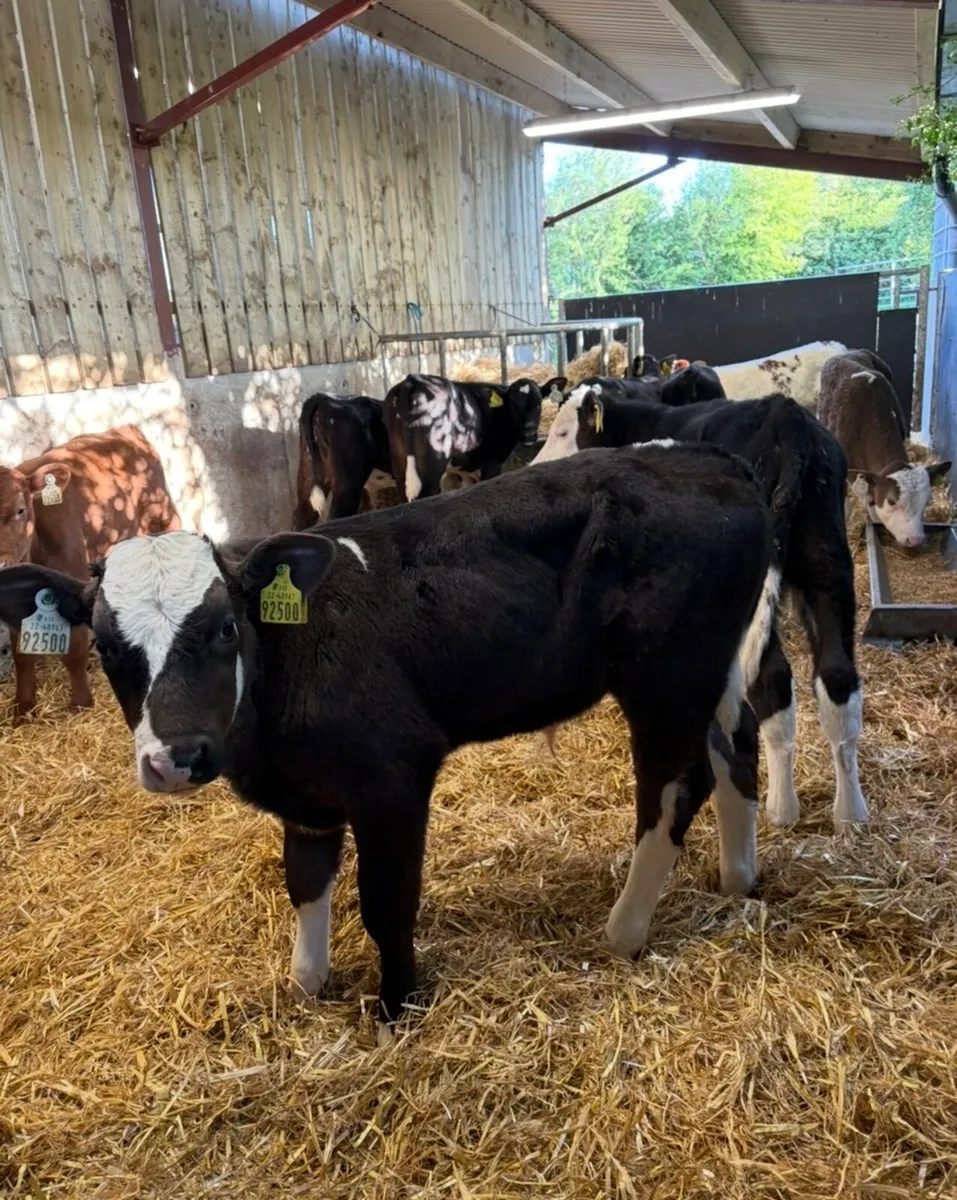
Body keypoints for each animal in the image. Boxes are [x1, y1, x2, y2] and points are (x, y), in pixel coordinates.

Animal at [0, 425, 180, 716]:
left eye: (20, 510)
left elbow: (74, 650)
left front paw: (80, 703)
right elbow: (21, 656)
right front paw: (23, 707)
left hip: (163, 519)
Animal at [383, 373, 565, 500]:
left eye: (539, 404)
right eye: (513, 406)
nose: (529, 434)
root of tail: (413, 380)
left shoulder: (464, 469)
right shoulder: (492, 463)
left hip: (399, 463)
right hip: (431, 465)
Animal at [533, 390, 867, 831]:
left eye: (563, 431)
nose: (535, 467)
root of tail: (784, 414)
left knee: (771, 678)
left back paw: (781, 809)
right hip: (827, 565)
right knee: (837, 676)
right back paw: (850, 814)